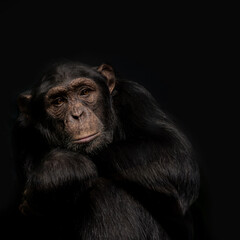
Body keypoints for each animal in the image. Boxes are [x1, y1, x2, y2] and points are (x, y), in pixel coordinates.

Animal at [13, 59, 201, 239]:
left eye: (84, 92)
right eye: (58, 101)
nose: (77, 114)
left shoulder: (136, 97)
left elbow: (173, 155)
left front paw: (59, 170)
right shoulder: (24, 131)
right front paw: (61, 167)